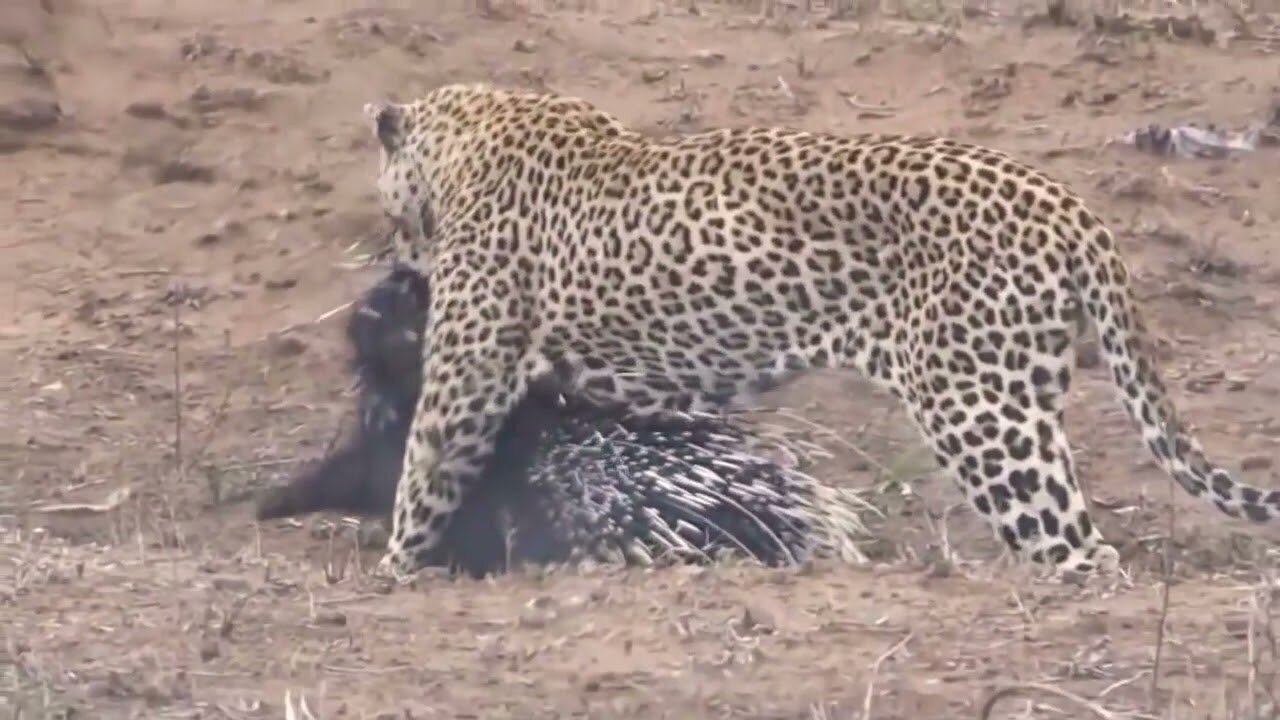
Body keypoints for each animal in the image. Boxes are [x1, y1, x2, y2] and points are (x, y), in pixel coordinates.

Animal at [360, 82, 1280, 576]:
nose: (392, 258)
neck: (468, 134)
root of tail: (1072, 208)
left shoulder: (467, 377)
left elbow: (423, 474)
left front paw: (393, 569)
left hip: (982, 411)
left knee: (1081, 551)